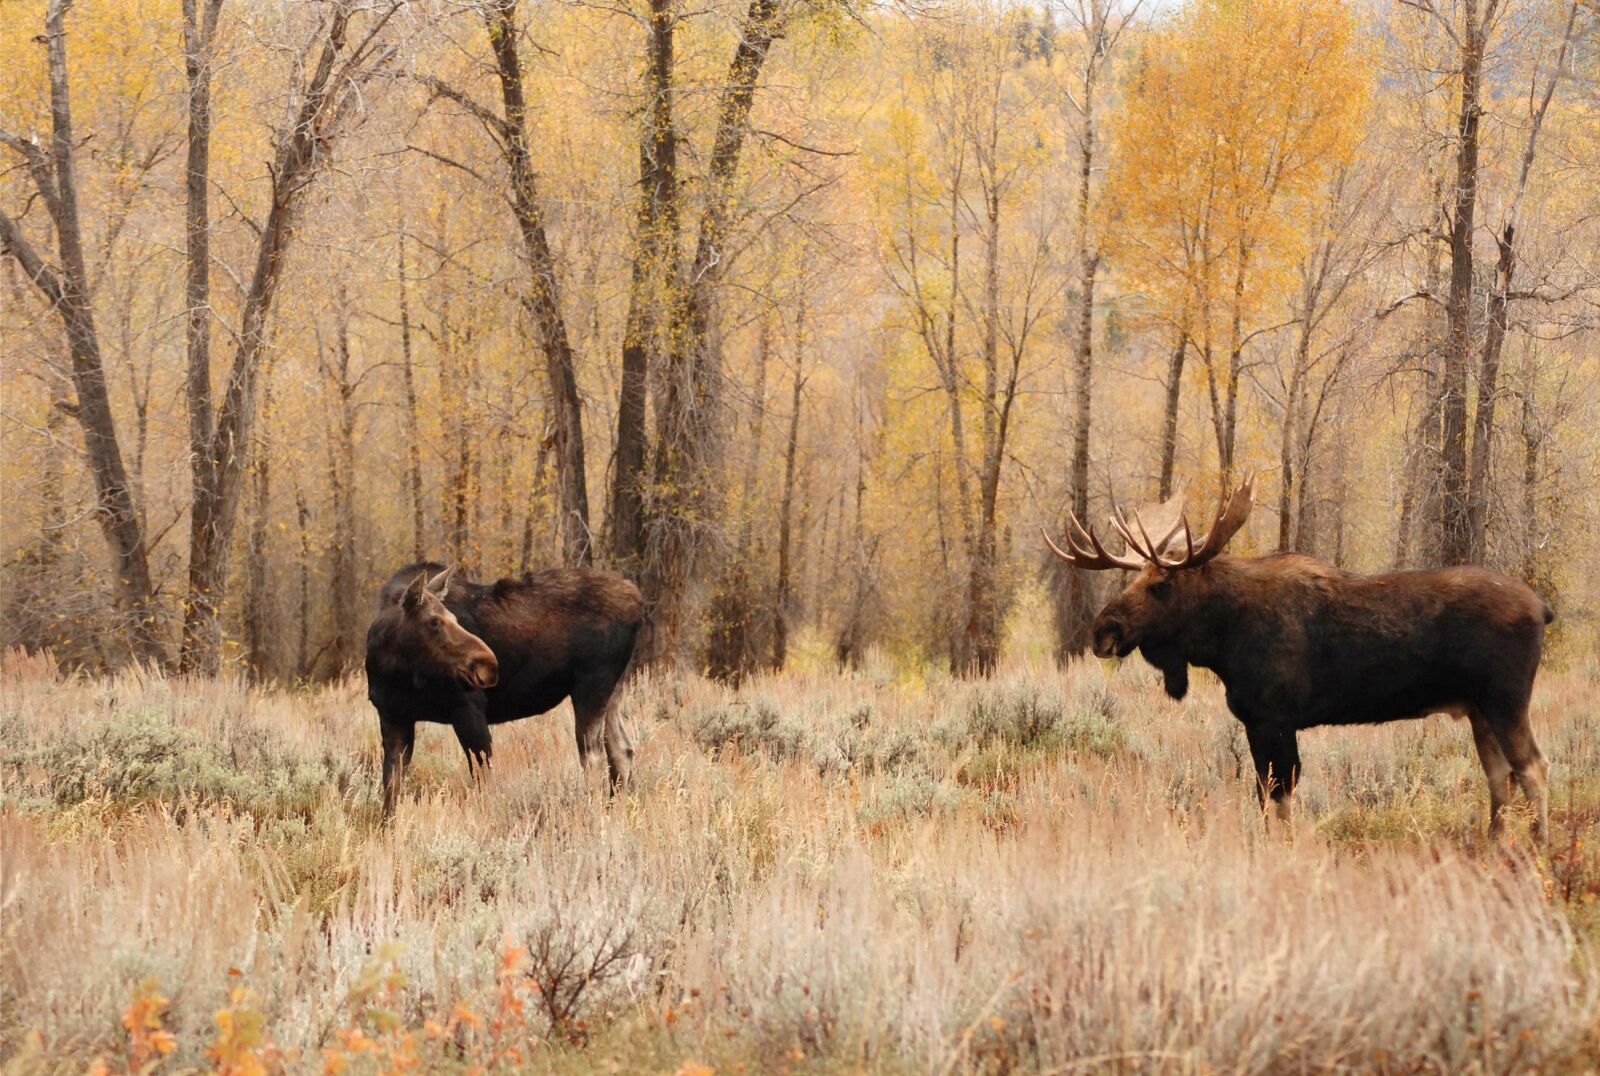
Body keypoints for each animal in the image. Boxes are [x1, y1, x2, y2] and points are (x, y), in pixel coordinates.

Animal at [364, 562, 643, 818]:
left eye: (454, 618)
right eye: (434, 621)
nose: (488, 664)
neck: (395, 671)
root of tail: (638, 603)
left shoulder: (468, 709)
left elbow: (482, 779)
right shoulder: (393, 718)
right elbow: (391, 790)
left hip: (592, 684)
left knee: (593, 756)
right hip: (613, 689)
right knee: (622, 749)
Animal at [1045, 475, 1554, 841]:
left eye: (1161, 583)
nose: (1103, 631)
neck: (1222, 639)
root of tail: (1543, 609)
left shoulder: (1274, 717)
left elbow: (1279, 795)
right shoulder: (1257, 722)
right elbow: (1264, 795)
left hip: (1506, 700)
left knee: (1534, 768)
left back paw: (1537, 850)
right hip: (1479, 709)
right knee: (1500, 775)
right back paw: (1495, 842)